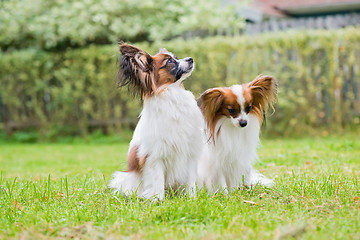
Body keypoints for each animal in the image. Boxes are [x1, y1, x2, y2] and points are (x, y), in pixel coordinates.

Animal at [108, 43, 204, 201]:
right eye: (170, 62)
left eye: (176, 57)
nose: (190, 59)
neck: (172, 94)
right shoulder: (154, 156)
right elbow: (158, 180)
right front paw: (158, 200)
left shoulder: (190, 152)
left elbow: (190, 181)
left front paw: (192, 199)